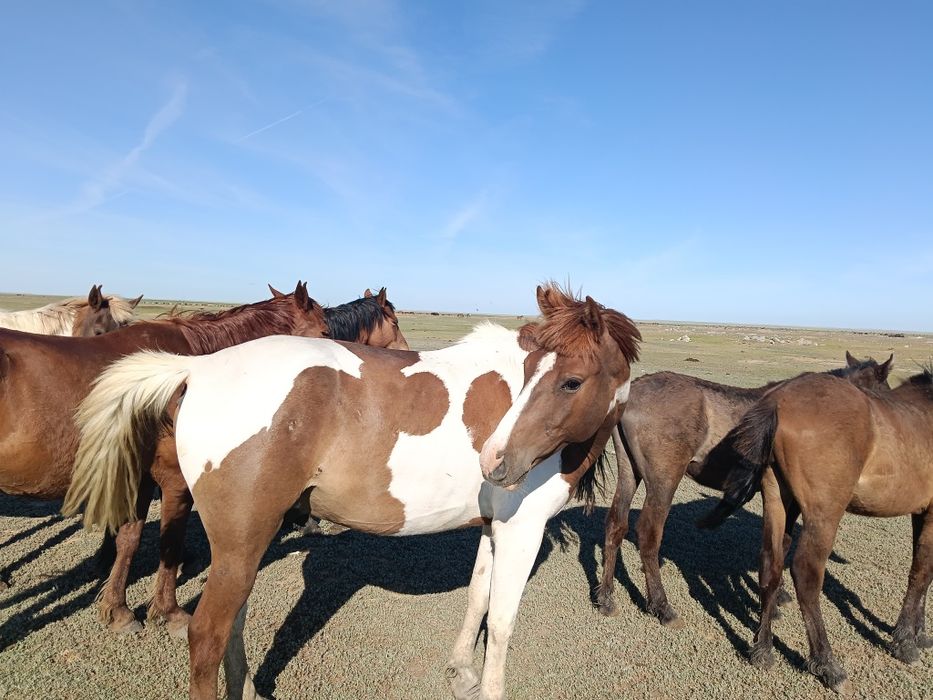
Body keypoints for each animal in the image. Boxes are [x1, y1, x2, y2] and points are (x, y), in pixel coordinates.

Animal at [597, 353, 894, 626]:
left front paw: (779, 594)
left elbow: (782, 541)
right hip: (663, 481)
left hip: (629, 473)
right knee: (649, 536)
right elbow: (782, 543)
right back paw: (662, 606)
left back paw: (606, 597)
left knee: (615, 525)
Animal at [697, 368, 933, 693]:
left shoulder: (922, 512)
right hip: (824, 513)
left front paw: (919, 633)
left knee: (771, 564)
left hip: (777, 497)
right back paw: (828, 664)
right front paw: (905, 641)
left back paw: (762, 650)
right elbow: (921, 573)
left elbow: (925, 571)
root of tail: (779, 400)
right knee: (806, 573)